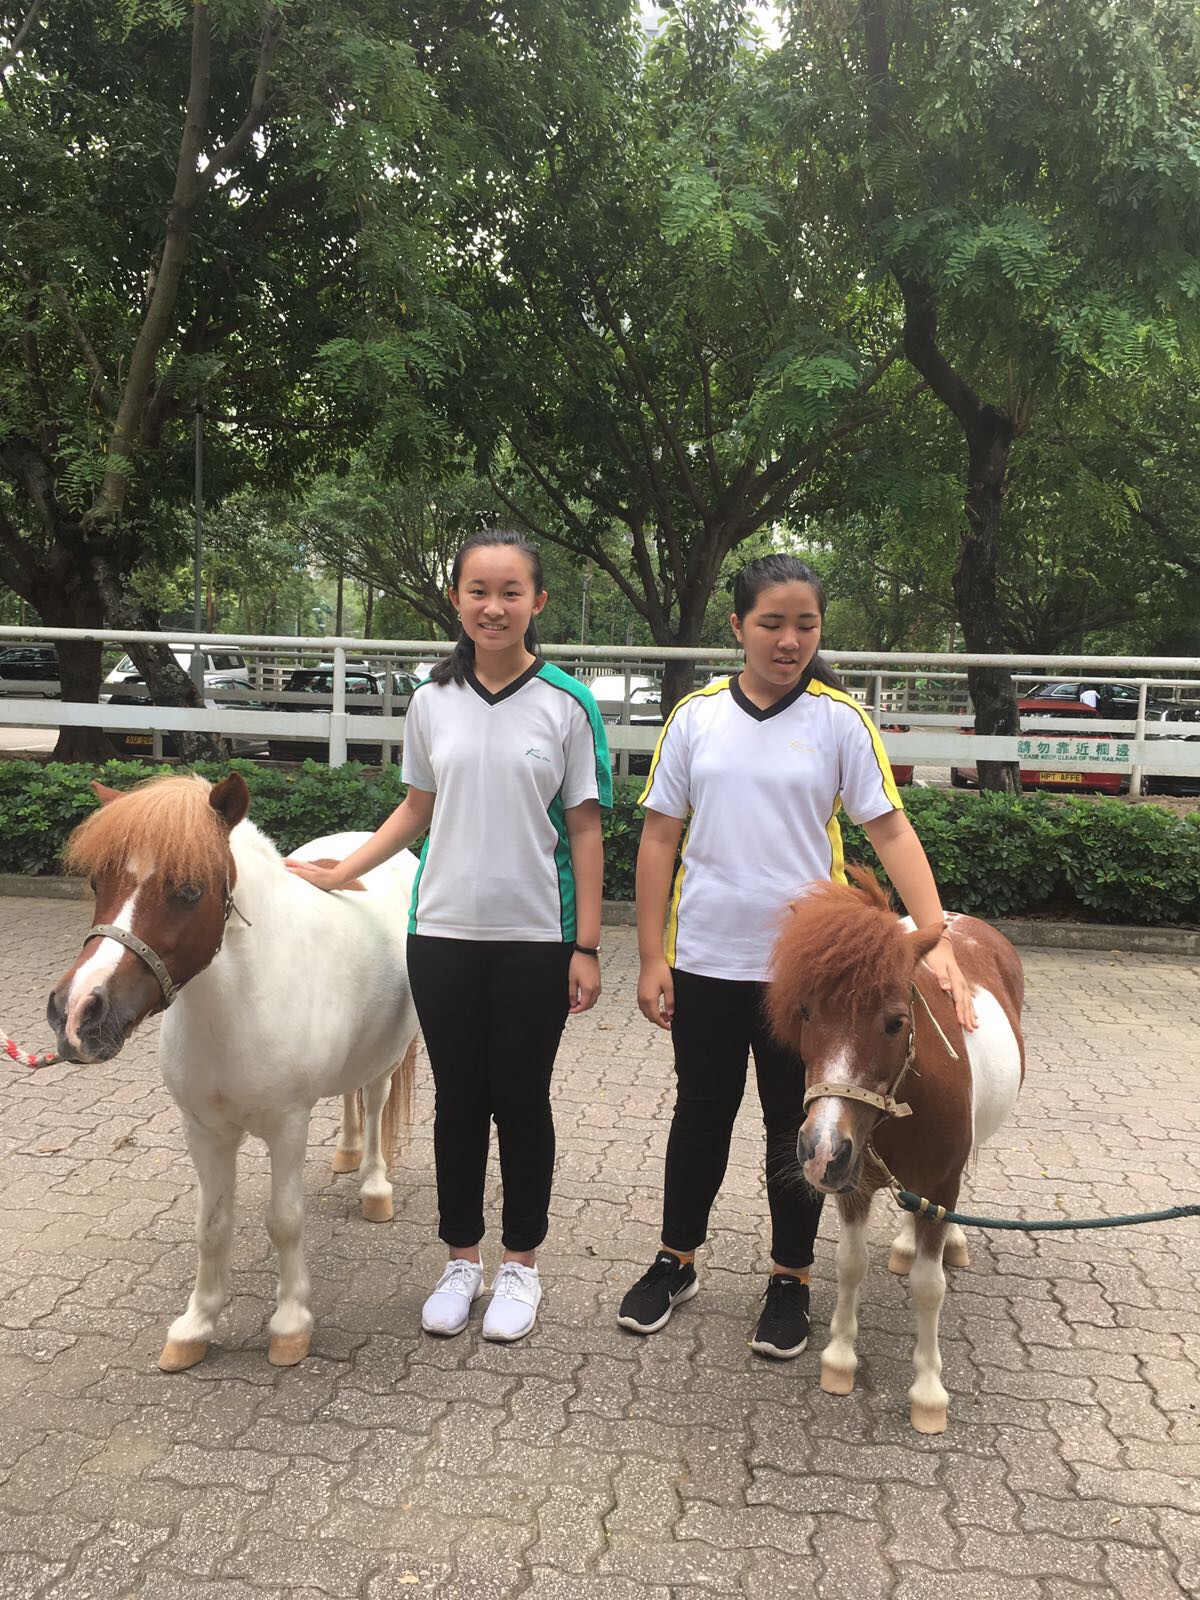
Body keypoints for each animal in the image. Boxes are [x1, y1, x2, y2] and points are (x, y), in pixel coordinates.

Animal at [46, 772, 421, 1372]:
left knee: (375, 1097)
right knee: (349, 1098)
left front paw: (290, 1326)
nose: (78, 1013)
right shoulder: (204, 1131)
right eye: (96, 880)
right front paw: (195, 1326)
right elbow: (212, 1225)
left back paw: (372, 1185)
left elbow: (284, 1221)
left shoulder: (288, 1127)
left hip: (389, 1055)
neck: (237, 1005)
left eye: (188, 891)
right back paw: (345, 1153)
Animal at [766, 867, 1025, 1434]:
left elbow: (930, 1287)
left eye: (896, 1021)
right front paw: (840, 1360)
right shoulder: (854, 1182)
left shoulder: (940, 1185)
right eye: (805, 1011)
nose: (820, 1149)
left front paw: (928, 1392)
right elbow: (850, 1263)